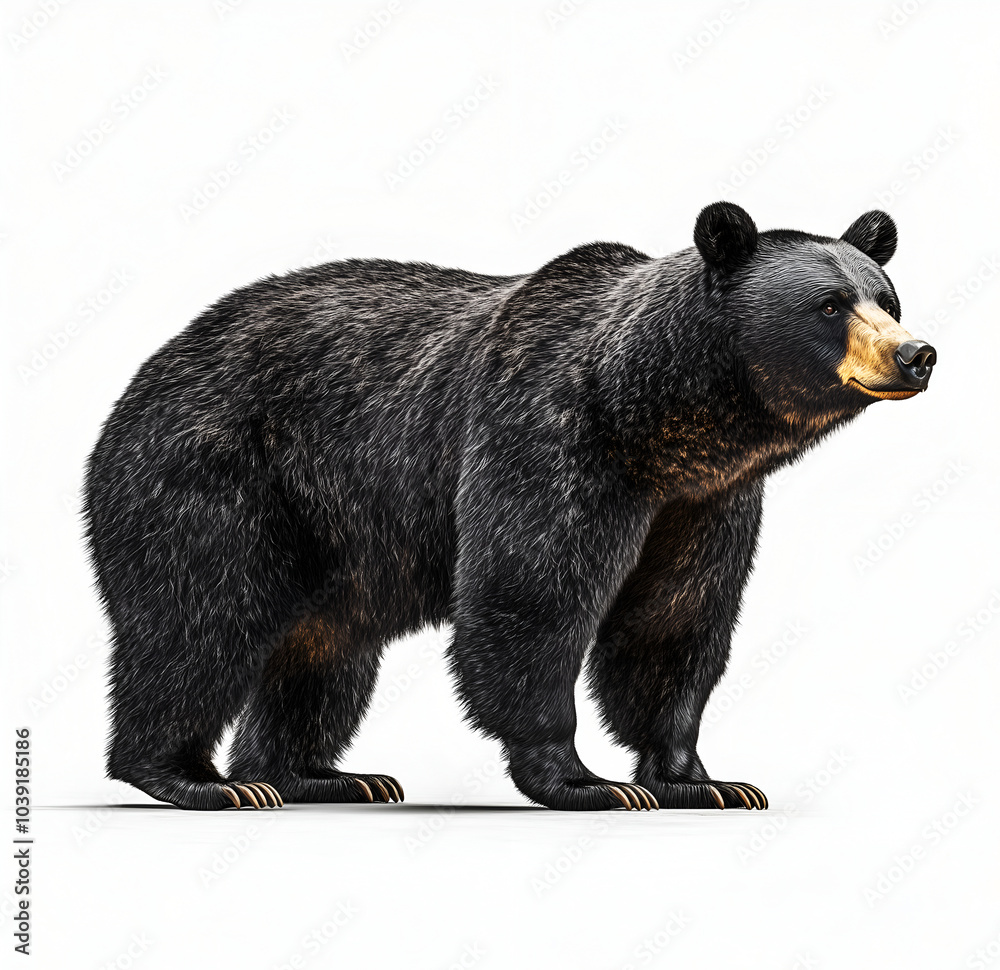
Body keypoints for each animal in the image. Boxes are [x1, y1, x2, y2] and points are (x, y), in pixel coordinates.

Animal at [83, 202, 936, 812]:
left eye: (886, 296)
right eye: (829, 305)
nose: (915, 353)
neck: (656, 419)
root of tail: (149, 369)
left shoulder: (703, 504)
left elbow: (674, 622)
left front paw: (702, 779)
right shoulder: (547, 435)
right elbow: (531, 598)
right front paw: (586, 780)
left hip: (336, 539)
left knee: (325, 648)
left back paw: (316, 775)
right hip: (217, 474)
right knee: (199, 617)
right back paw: (197, 777)